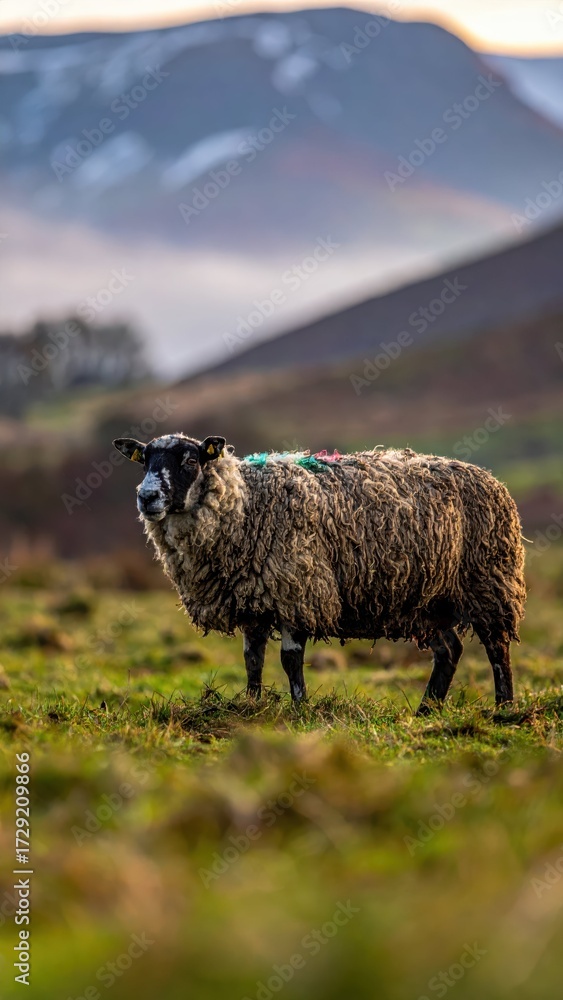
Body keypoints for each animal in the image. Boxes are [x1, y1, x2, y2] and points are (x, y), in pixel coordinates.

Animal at [113, 434, 526, 712]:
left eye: (189, 460)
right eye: (144, 460)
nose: (146, 497)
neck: (247, 504)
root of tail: (492, 479)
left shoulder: (297, 588)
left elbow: (290, 659)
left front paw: (300, 709)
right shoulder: (253, 600)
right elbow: (252, 659)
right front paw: (250, 706)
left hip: (488, 582)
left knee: (496, 648)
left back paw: (504, 708)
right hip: (428, 602)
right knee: (450, 650)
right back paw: (427, 710)